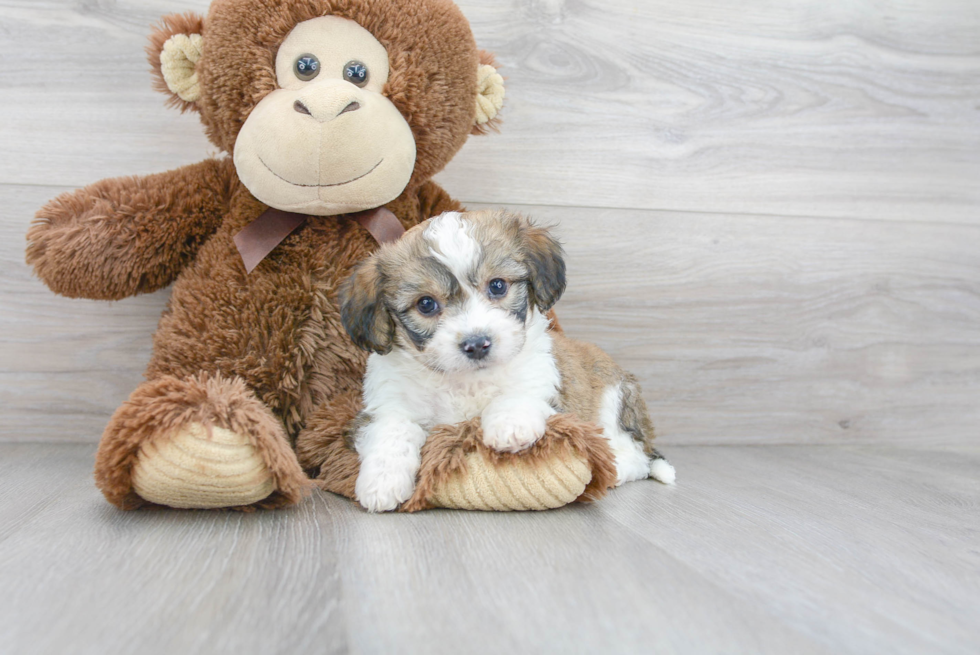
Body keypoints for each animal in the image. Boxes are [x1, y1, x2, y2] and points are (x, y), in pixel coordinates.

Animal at [338, 210, 672, 512]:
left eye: (497, 285)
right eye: (426, 304)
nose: (476, 344)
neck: (466, 380)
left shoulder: (545, 381)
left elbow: (521, 391)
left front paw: (510, 424)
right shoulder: (387, 401)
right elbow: (391, 428)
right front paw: (382, 481)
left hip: (613, 403)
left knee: (635, 456)